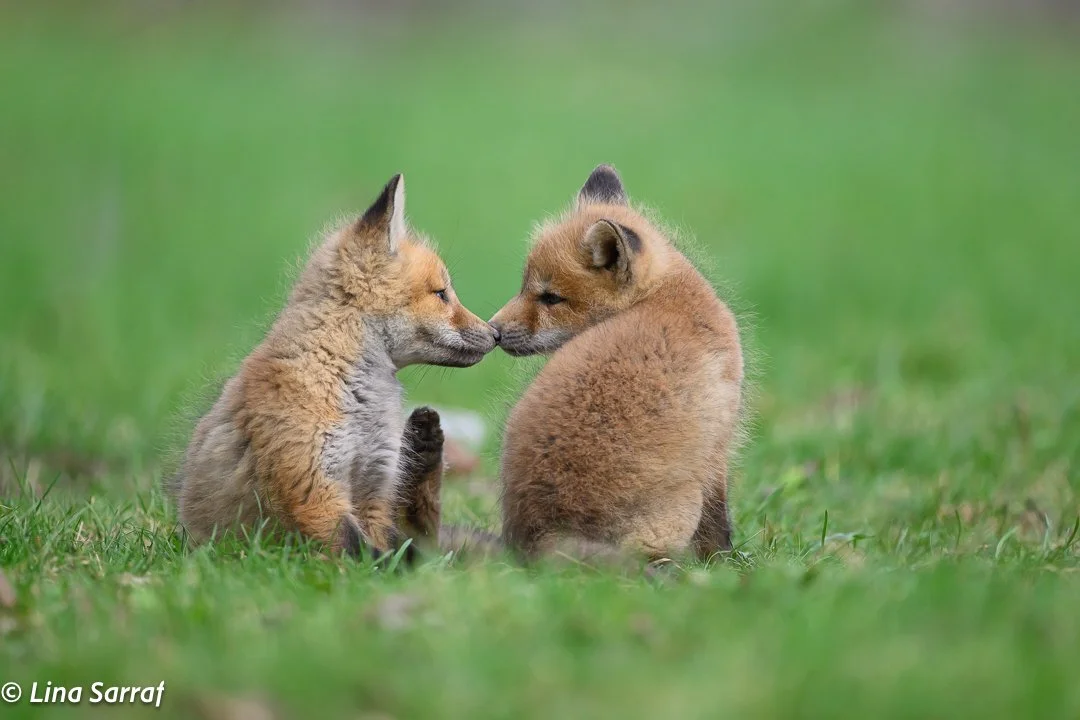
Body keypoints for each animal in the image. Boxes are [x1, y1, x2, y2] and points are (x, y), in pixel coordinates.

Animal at [170, 174, 497, 558]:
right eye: (442, 294)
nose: (495, 333)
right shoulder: (314, 491)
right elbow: (368, 555)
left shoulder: (376, 485)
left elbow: (388, 546)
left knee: (425, 533)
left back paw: (425, 442)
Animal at [490, 165, 744, 564]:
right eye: (525, 287)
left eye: (551, 298)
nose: (493, 331)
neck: (660, 296)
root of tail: (542, 539)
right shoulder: (715, 450)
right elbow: (718, 528)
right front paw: (725, 567)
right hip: (681, 506)